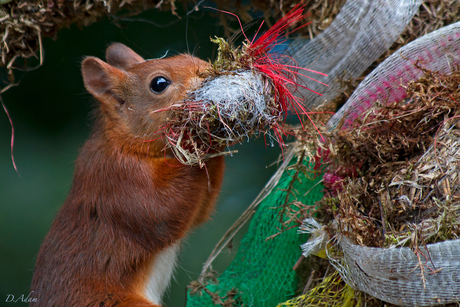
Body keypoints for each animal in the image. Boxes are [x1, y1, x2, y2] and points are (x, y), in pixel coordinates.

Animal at [29, 43, 226, 307]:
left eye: (188, 56)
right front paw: (199, 136)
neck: (123, 143)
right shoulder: (117, 178)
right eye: (159, 83)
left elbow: (198, 214)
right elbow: (161, 213)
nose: (208, 71)